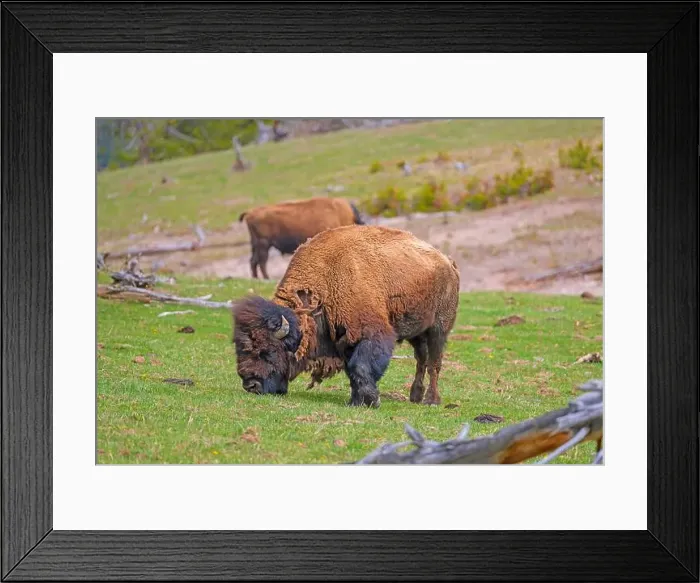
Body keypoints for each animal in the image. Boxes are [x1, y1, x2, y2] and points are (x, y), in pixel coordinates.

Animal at [232, 225, 460, 407]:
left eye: (267, 352)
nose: (250, 385)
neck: (326, 281)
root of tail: (448, 262)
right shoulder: (344, 339)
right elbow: (352, 371)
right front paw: (355, 401)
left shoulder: (371, 333)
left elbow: (360, 367)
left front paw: (370, 401)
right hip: (417, 333)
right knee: (421, 360)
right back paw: (415, 396)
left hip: (438, 329)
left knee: (434, 364)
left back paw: (431, 400)